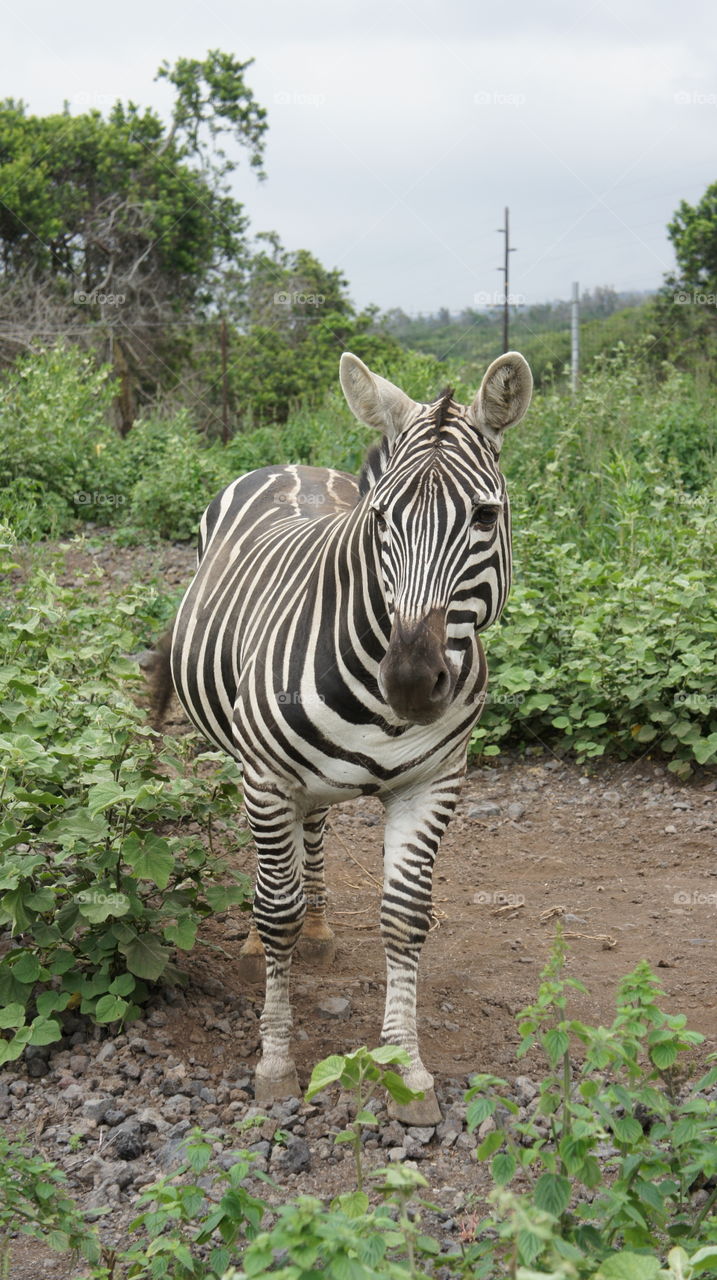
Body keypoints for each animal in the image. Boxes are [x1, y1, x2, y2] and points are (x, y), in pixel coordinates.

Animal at [154, 350, 532, 1124]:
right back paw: (261, 933)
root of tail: (290, 464)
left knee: (317, 827)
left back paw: (323, 928)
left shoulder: (434, 783)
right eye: (382, 517)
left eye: (485, 515)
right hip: (250, 760)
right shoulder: (267, 780)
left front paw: (406, 1071)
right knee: (275, 873)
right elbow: (277, 911)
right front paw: (274, 1063)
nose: (412, 682)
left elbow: (406, 917)